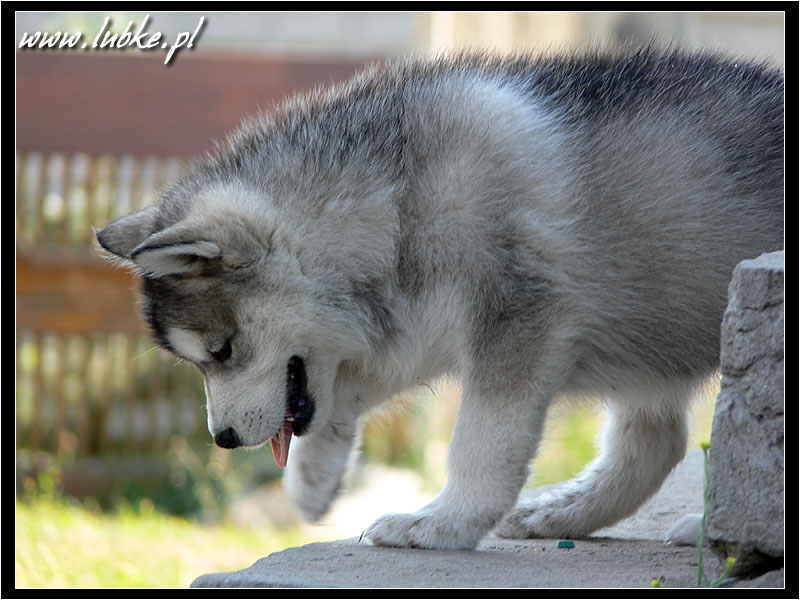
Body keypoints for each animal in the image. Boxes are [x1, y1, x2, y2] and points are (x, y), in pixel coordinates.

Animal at [97, 49, 784, 552]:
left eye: (222, 350)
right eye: (201, 361)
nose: (223, 439)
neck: (396, 207)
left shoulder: (518, 324)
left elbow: (481, 444)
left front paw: (442, 524)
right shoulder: (404, 331)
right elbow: (339, 395)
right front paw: (314, 479)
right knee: (658, 439)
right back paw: (563, 512)